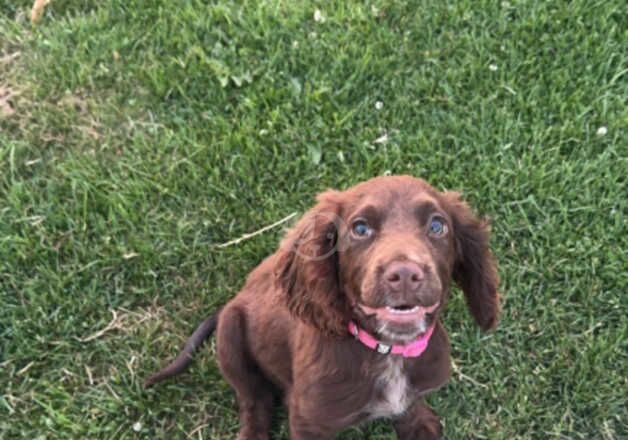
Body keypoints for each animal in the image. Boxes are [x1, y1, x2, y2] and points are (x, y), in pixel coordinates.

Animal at [145, 176, 498, 440]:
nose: (405, 275)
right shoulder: (308, 420)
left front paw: (419, 424)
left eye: (438, 226)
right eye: (360, 228)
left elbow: (410, 408)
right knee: (253, 400)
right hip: (230, 336)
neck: (388, 351)